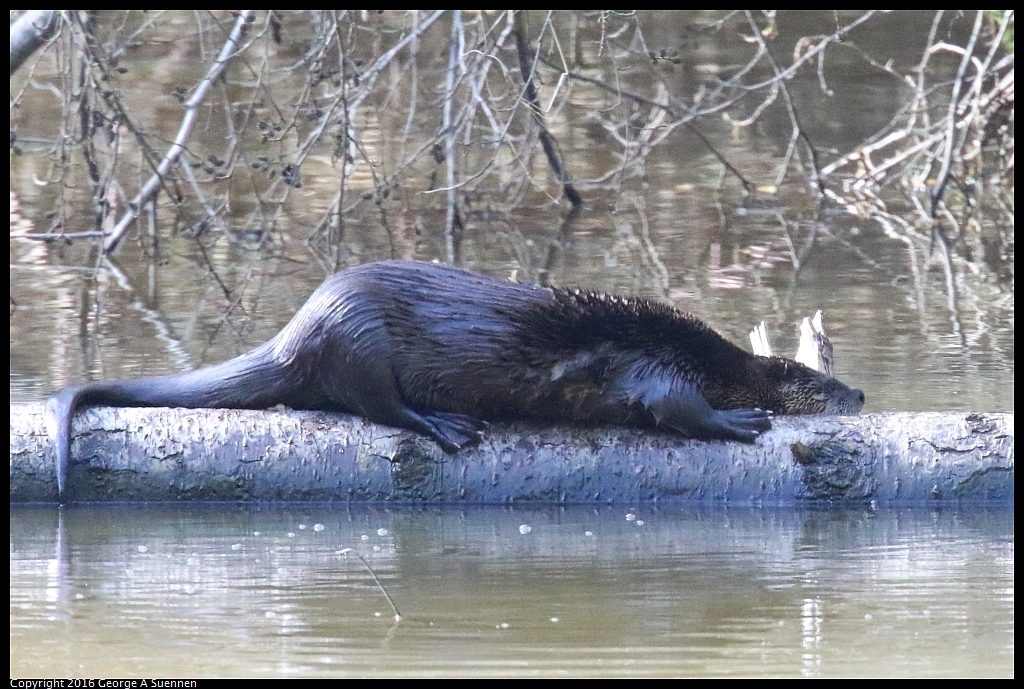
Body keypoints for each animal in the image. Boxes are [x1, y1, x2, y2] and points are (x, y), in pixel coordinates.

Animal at [48, 257, 864, 495]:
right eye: (826, 385)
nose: (860, 391)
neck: (709, 355)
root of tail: (300, 328)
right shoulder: (658, 365)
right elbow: (674, 407)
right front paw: (741, 420)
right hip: (361, 341)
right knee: (378, 407)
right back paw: (446, 425)